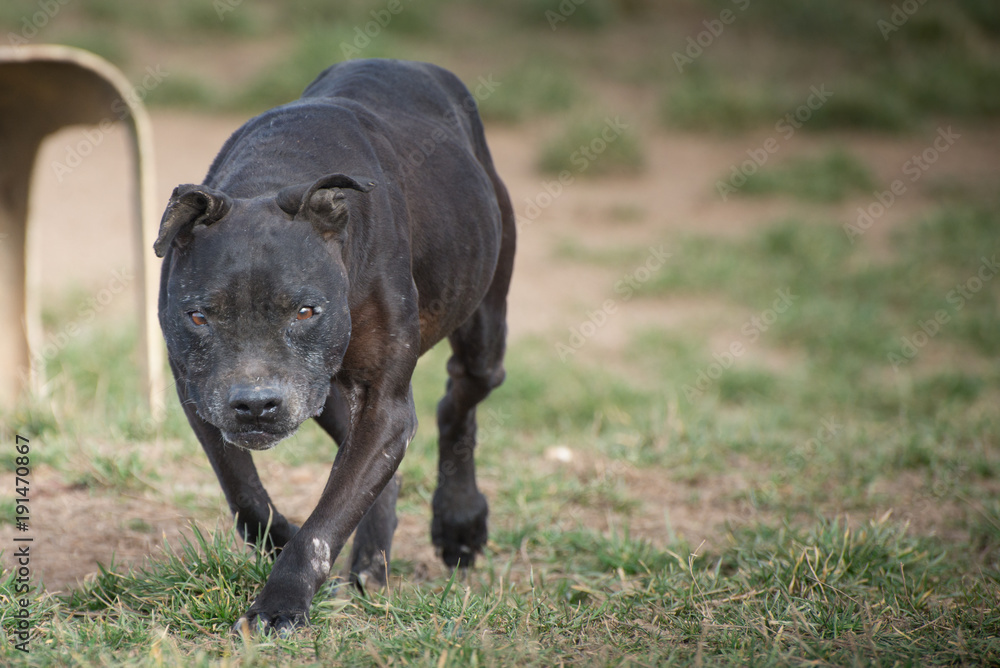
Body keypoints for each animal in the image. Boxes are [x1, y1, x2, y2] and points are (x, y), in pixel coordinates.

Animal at [158, 60, 516, 636]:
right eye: (199, 316)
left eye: (306, 311)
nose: (255, 405)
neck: (275, 173)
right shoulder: (199, 394)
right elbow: (246, 495)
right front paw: (283, 541)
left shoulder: (385, 403)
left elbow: (325, 524)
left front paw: (281, 602)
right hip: (327, 392)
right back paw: (373, 558)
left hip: (483, 331)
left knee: (458, 399)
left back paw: (459, 520)